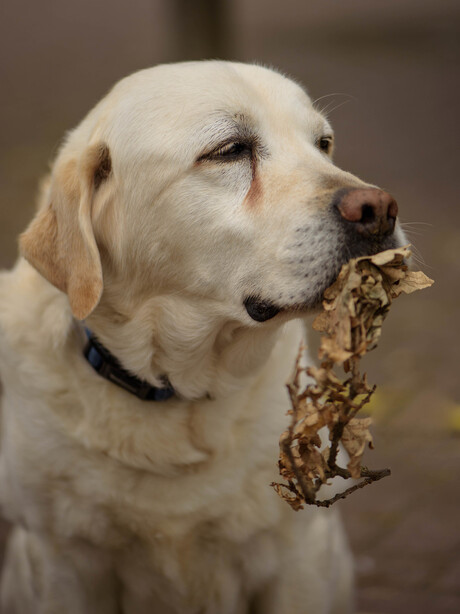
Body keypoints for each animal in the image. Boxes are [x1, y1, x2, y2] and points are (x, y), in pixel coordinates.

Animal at [0, 60, 402, 612]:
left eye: (323, 144)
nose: (379, 208)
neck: (177, 387)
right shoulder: (61, 562)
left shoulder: (301, 559)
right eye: (229, 150)